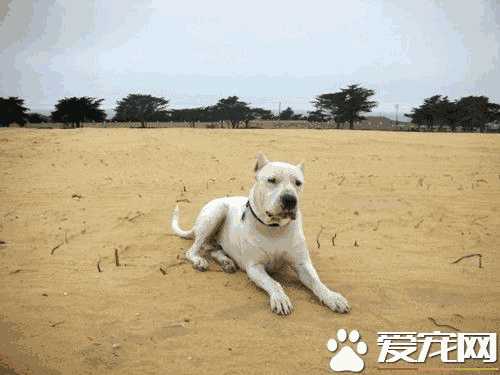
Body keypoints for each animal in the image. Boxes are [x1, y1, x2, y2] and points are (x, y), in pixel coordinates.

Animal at [172, 154, 352, 316]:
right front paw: (280, 298)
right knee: (193, 249)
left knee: (213, 248)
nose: (290, 199)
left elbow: (317, 282)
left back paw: (226, 261)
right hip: (216, 213)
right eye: (271, 180)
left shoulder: (302, 263)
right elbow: (273, 283)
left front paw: (332, 297)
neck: (274, 229)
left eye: (298, 183)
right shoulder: (255, 267)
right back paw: (200, 260)